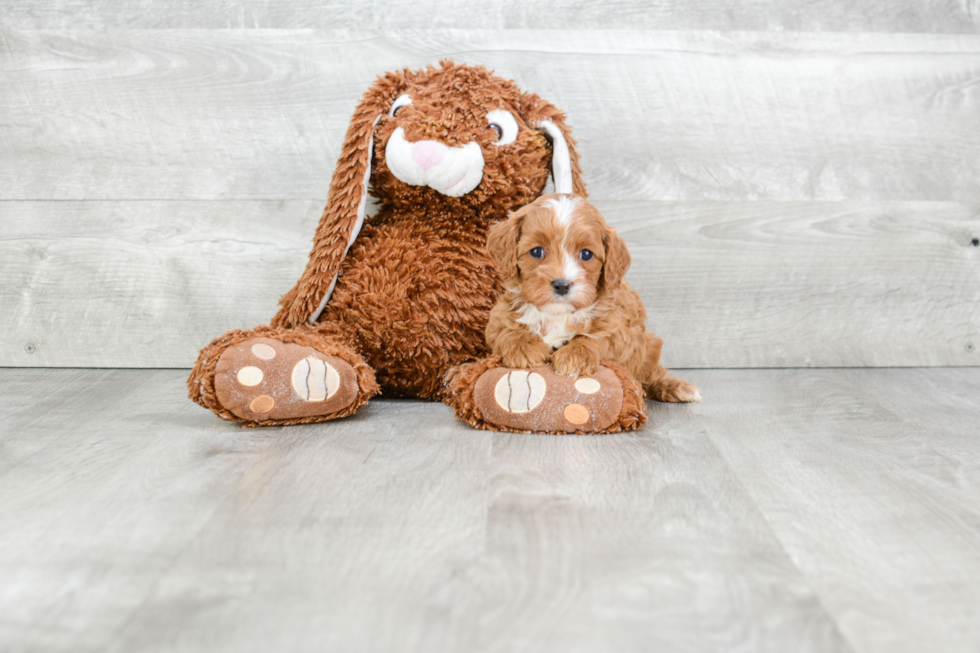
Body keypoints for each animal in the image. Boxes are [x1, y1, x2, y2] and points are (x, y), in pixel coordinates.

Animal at [486, 192, 700, 402]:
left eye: (586, 254)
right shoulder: (499, 318)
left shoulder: (620, 328)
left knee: (651, 373)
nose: (562, 285)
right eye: (536, 251)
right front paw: (525, 348)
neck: (557, 314)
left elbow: (597, 338)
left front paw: (575, 355)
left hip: (650, 347)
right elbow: (506, 331)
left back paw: (677, 387)